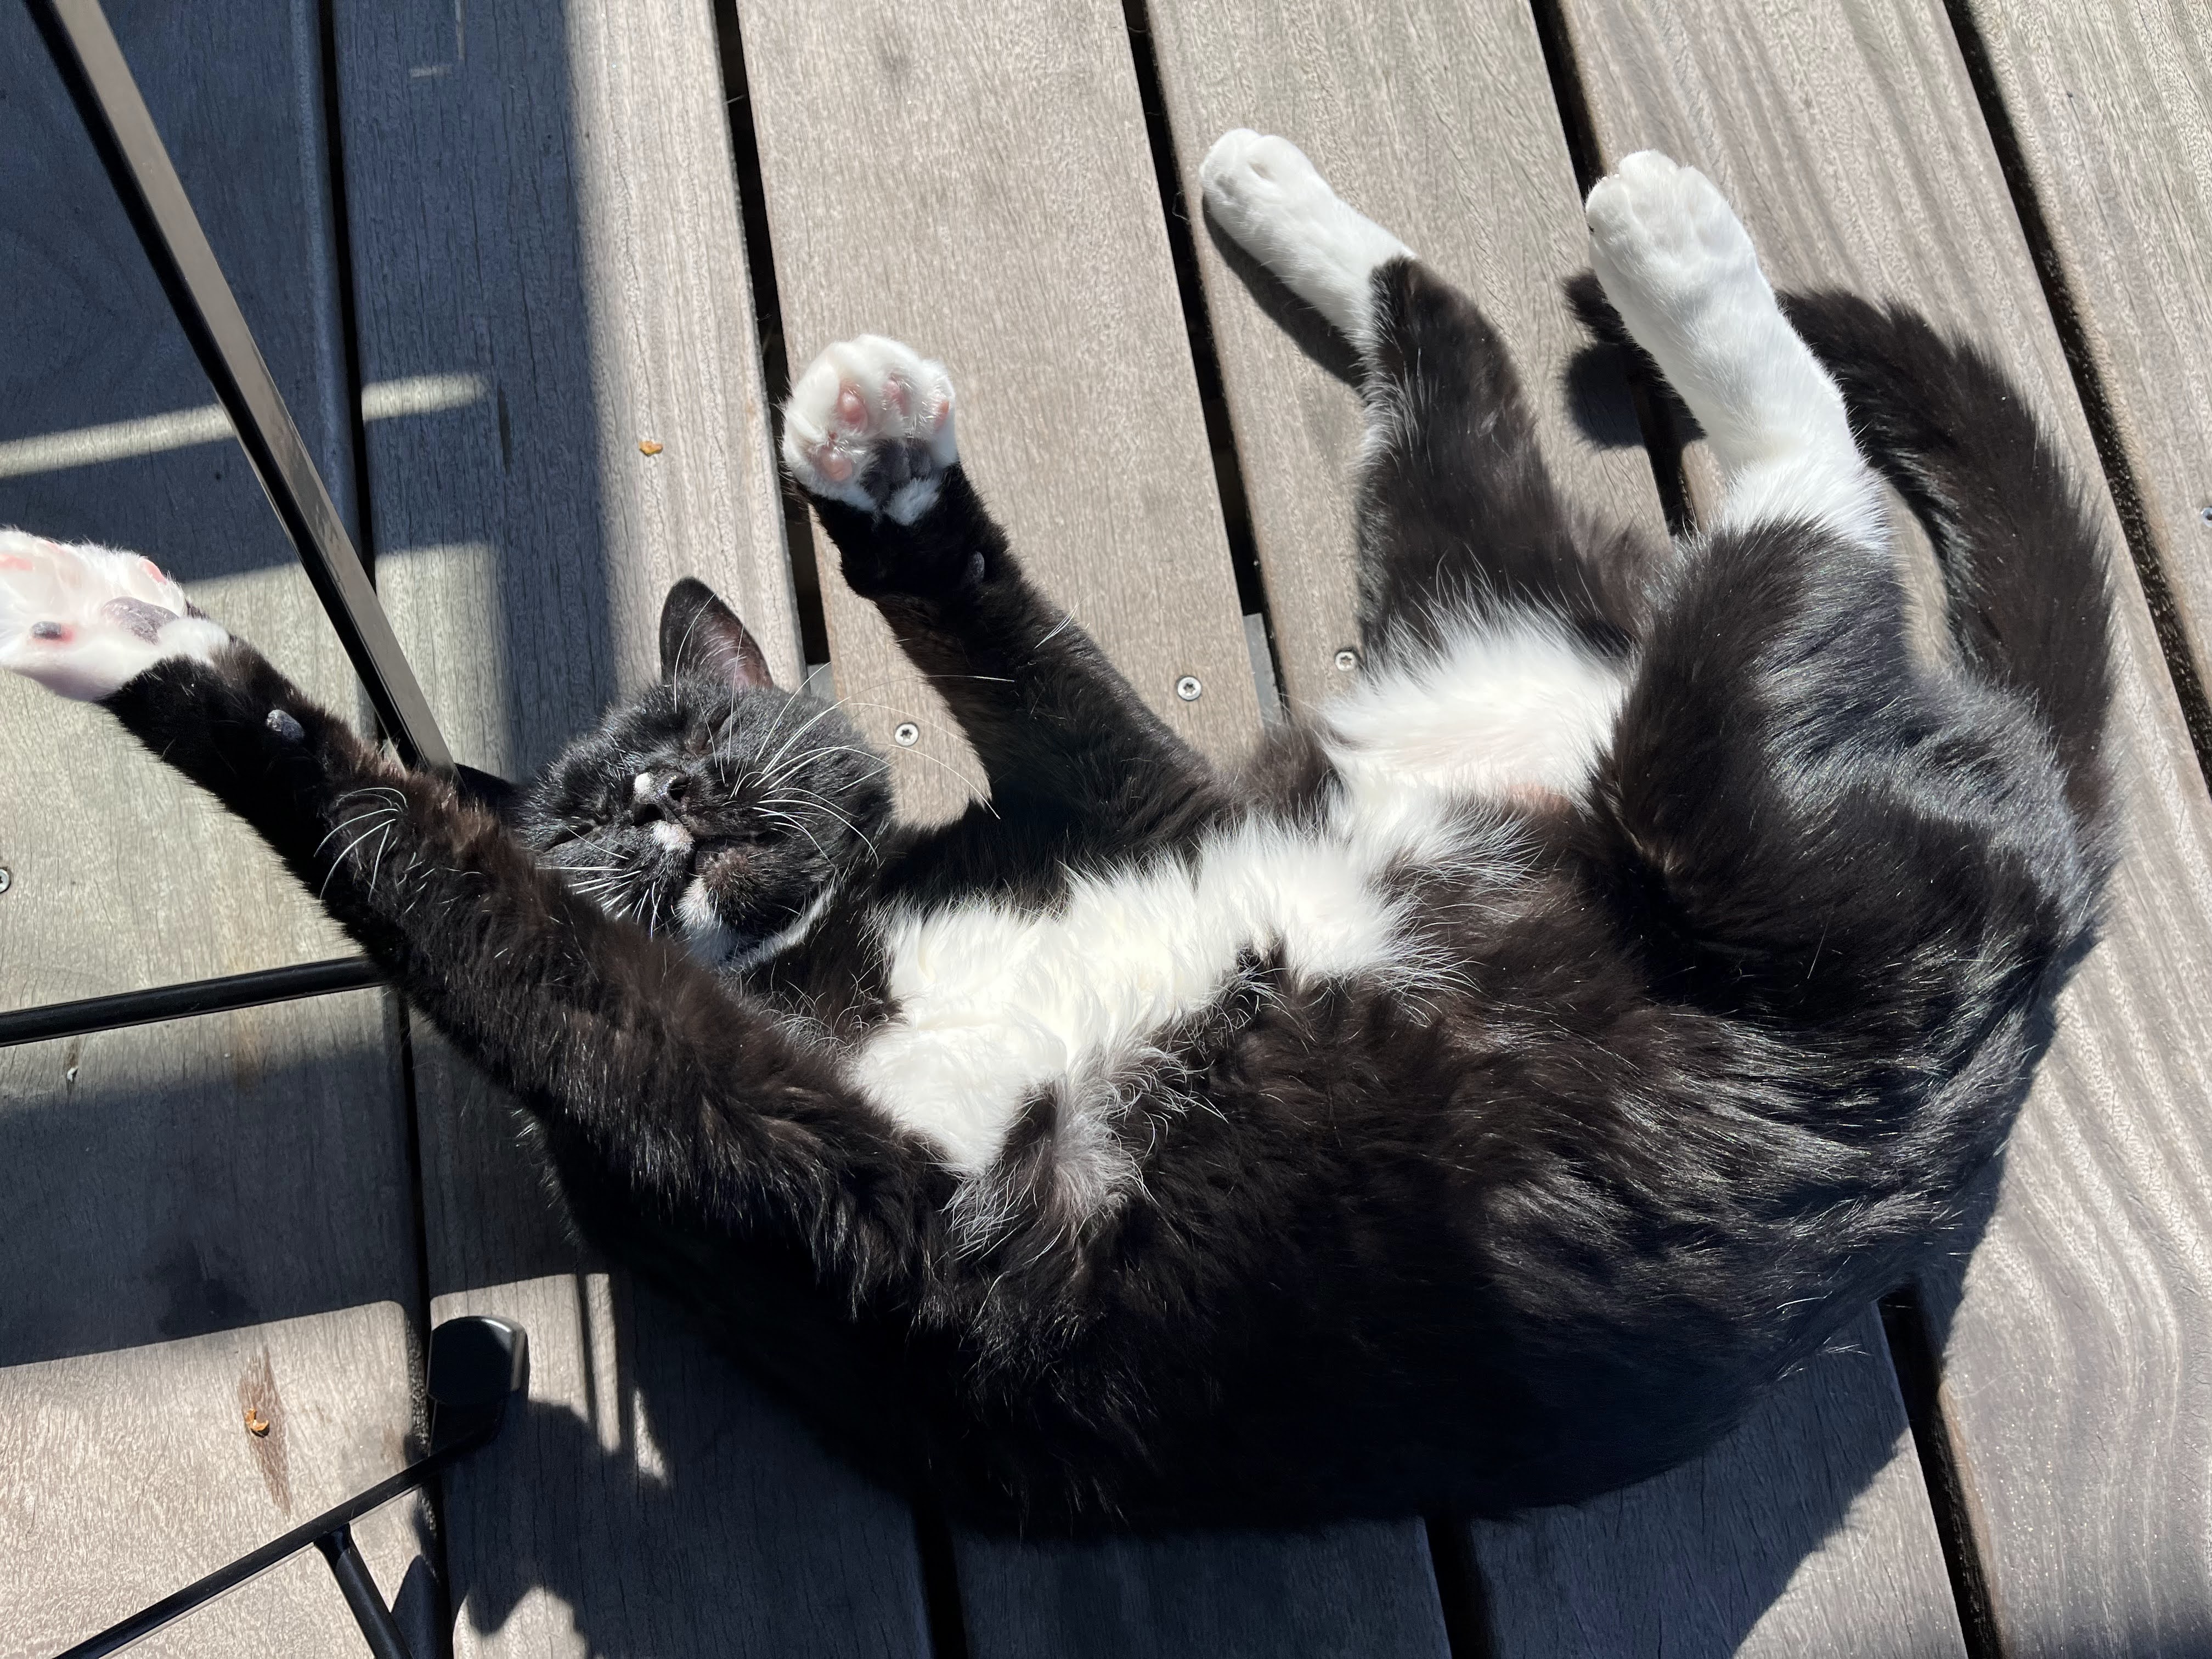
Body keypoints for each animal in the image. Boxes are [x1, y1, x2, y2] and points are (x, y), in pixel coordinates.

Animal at [0, 143, 2106, 1531]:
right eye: (600, 813)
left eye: (709, 737)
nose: (678, 804)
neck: (845, 946)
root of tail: (2050, 829)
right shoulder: (762, 1142)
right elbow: (469, 902)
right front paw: (135, 635)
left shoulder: (1133, 803)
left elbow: (1020, 659)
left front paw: (888, 473)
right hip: (1725, 815)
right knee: (1762, 494)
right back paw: (1636, 236)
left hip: (1547, 662)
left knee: (1518, 376)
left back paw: (1359, 199)